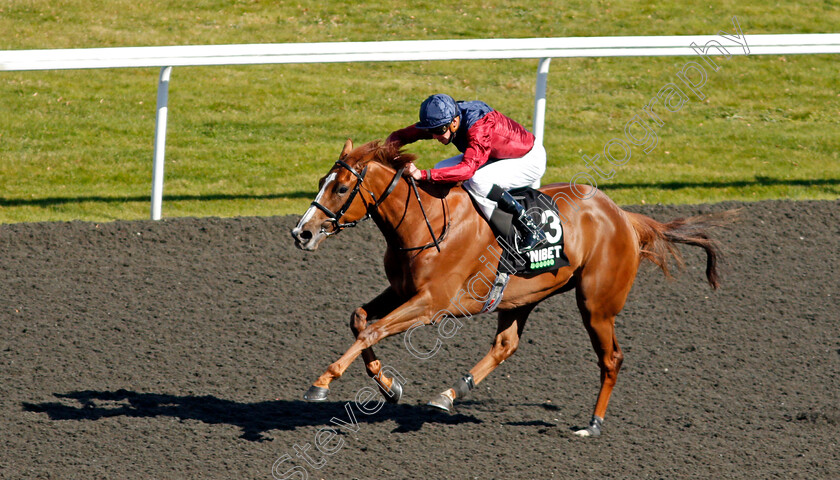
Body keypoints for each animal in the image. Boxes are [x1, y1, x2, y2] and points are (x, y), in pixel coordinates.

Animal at [290, 138, 728, 436]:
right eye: (321, 180)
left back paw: (592, 423)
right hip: (522, 297)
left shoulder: (431, 303)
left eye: (341, 188)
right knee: (506, 345)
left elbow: (374, 329)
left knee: (612, 359)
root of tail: (624, 216)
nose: (302, 233)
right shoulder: (401, 291)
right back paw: (451, 393)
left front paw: (322, 383)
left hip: (596, 304)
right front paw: (389, 386)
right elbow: (360, 320)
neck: (425, 221)